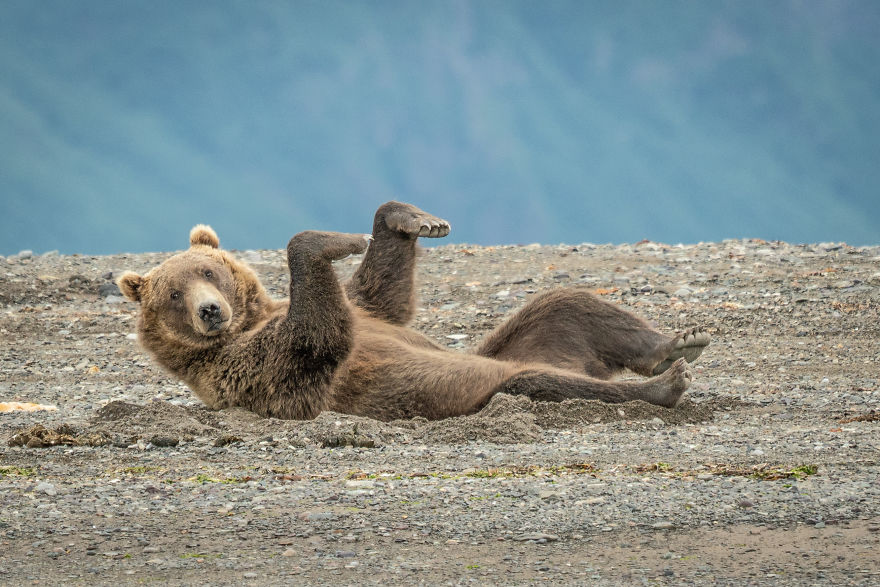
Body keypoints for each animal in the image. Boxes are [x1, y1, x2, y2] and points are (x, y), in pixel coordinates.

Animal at [117, 201, 710, 421]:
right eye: (172, 294)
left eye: (208, 271)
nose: (210, 311)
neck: (251, 320)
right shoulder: (251, 367)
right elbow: (318, 335)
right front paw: (335, 239)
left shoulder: (365, 310)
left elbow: (380, 293)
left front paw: (414, 220)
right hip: (482, 383)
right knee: (543, 381)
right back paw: (663, 385)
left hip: (529, 337)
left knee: (567, 304)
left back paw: (677, 344)